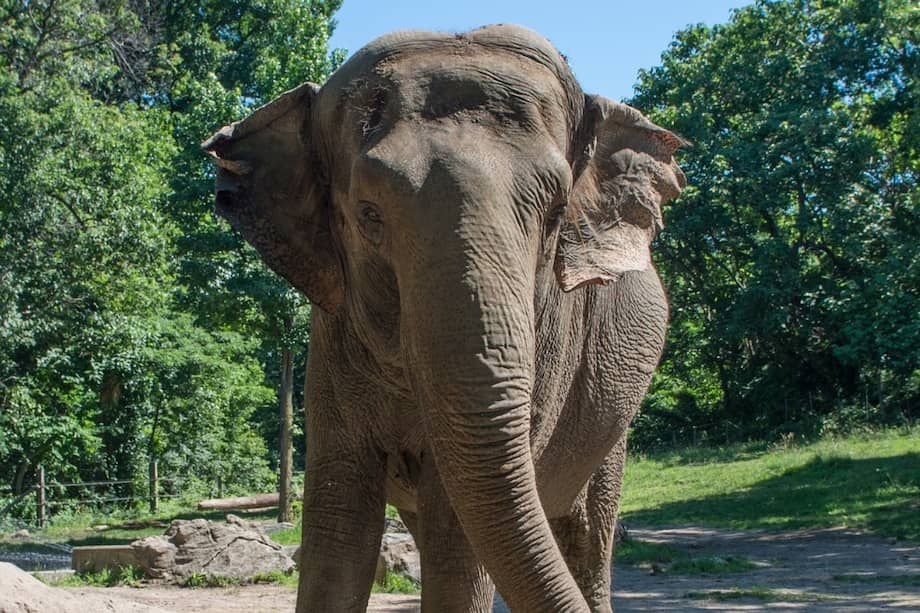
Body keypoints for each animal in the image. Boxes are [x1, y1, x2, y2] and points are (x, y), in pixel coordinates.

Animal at [203, 24, 685, 613]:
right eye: (368, 215)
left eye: (555, 214)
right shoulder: (332, 341)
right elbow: (338, 530)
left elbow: (456, 536)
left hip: (611, 419)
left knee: (584, 539)